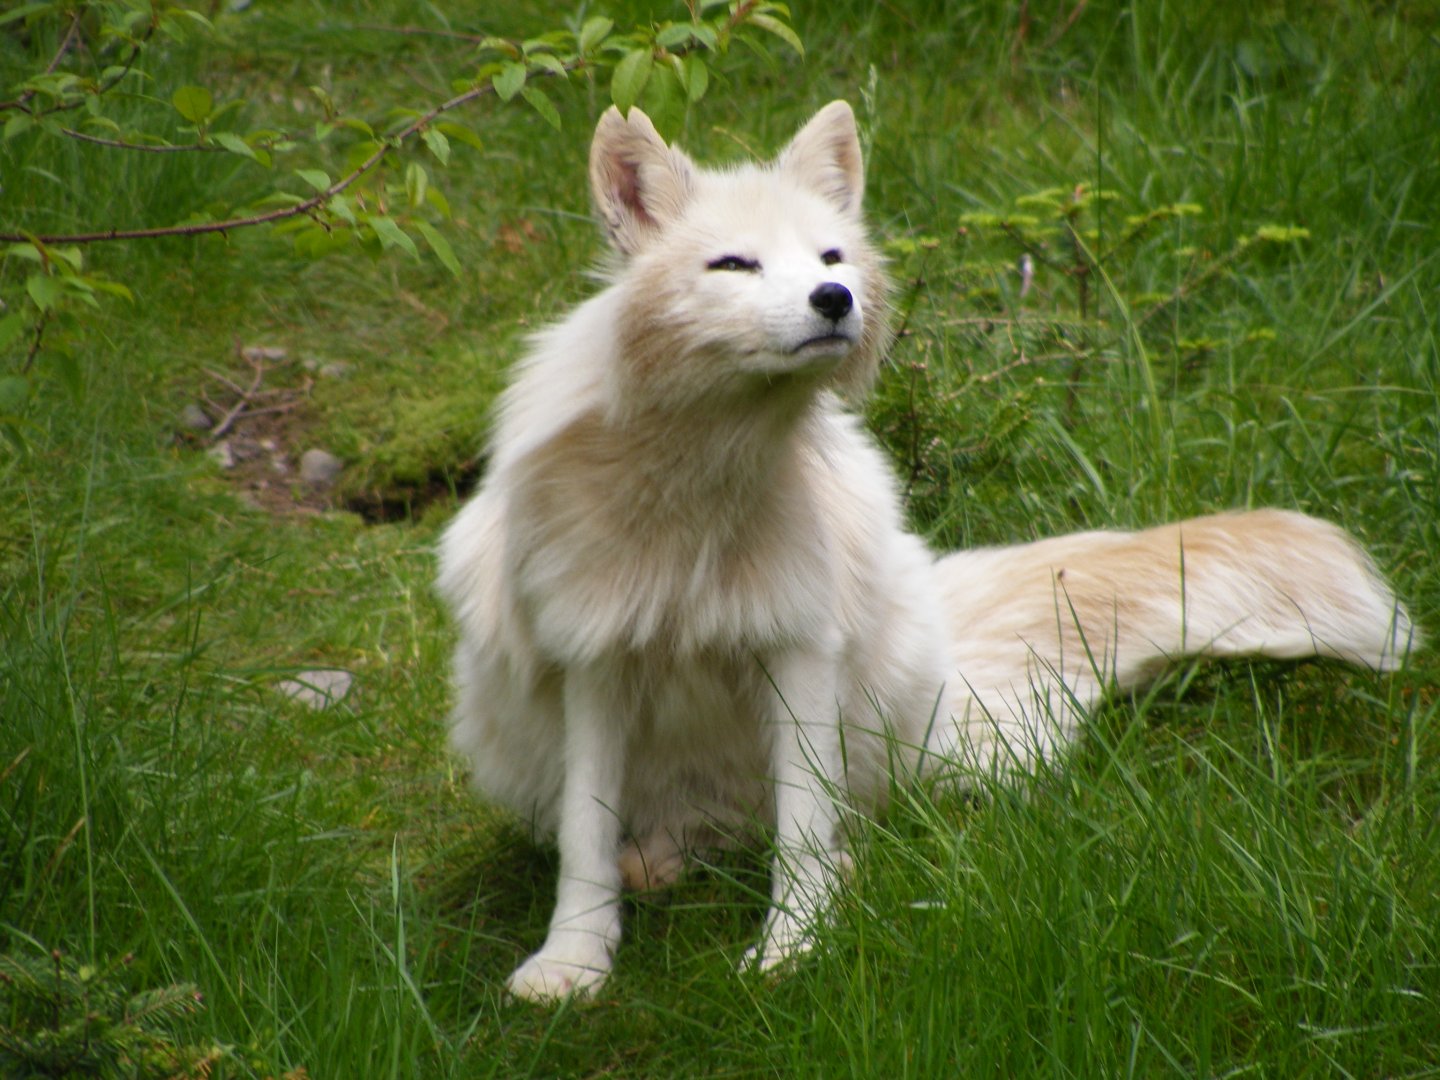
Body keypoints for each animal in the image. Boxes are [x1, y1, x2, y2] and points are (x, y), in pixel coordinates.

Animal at [436, 100, 1415, 1004]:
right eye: (734, 265)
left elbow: (801, 829)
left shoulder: (798, 647)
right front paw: (572, 964)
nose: (835, 301)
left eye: (830, 259)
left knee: (830, 827)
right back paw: (666, 866)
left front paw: (791, 950)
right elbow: (586, 840)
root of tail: (946, 628)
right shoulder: (593, 661)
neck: (697, 490)